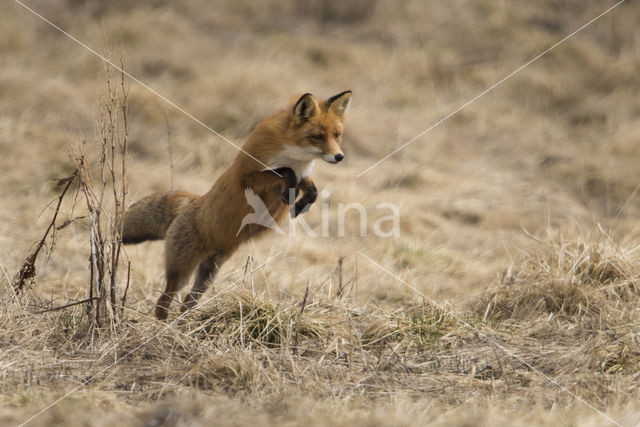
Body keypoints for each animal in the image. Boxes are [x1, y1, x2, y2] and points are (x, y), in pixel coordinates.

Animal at [122, 90, 352, 320]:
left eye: (337, 135)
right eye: (317, 136)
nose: (339, 156)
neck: (295, 156)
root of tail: (192, 202)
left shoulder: (303, 172)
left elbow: (311, 189)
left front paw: (302, 202)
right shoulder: (246, 176)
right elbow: (285, 172)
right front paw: (290, 193)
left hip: (209, 271)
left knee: (187, 302)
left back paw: (184, 324)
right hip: (182, 269)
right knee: (163, 303)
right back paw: (163, 326)